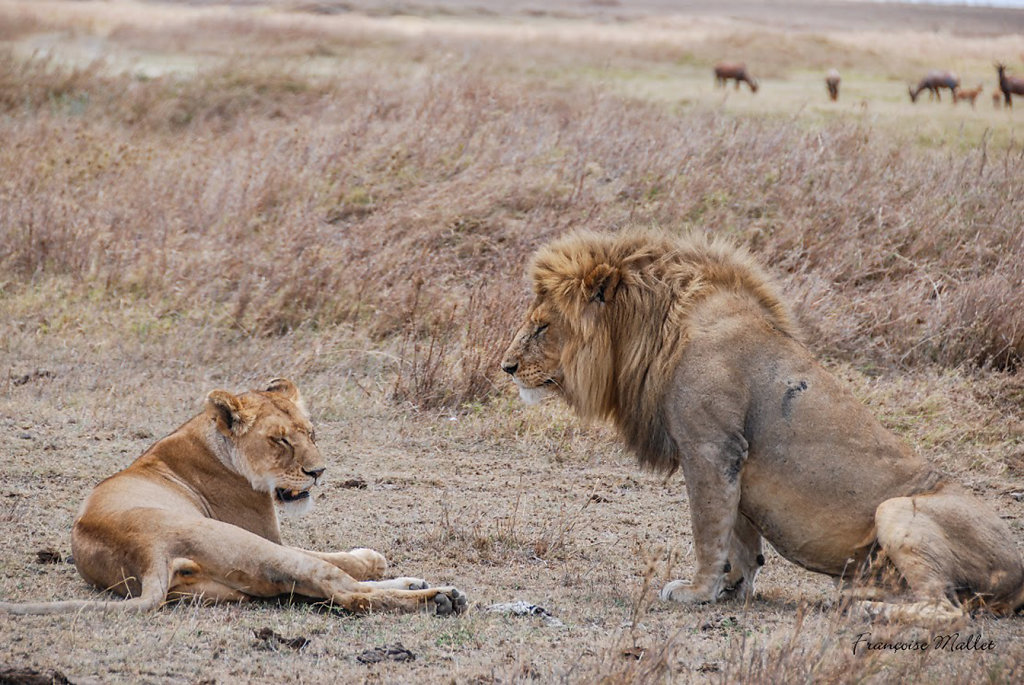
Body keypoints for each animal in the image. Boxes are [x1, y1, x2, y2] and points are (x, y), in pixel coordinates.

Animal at [1, 378, 468, 614]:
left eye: (311, 433)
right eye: (280, 441)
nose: (318, 473)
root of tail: (145, 553)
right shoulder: (266, 532)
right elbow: (341, 558)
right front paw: (371, 555)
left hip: (244, 587)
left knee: (321, 590)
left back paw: (425, 588)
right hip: (255, 548)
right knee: (346, 591)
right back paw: (441, 597)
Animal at [501, 229, 1024, 618]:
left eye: (543, 326)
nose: (506, 367)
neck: (656, 327)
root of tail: (1019, 574)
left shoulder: (710, 446)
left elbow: (708, 528)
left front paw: (697, 591)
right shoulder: (734, 460)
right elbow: (738, 530)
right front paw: (732, 587)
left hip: (898, 510)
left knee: (947, 608)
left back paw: (867, 610)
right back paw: (861, 598)